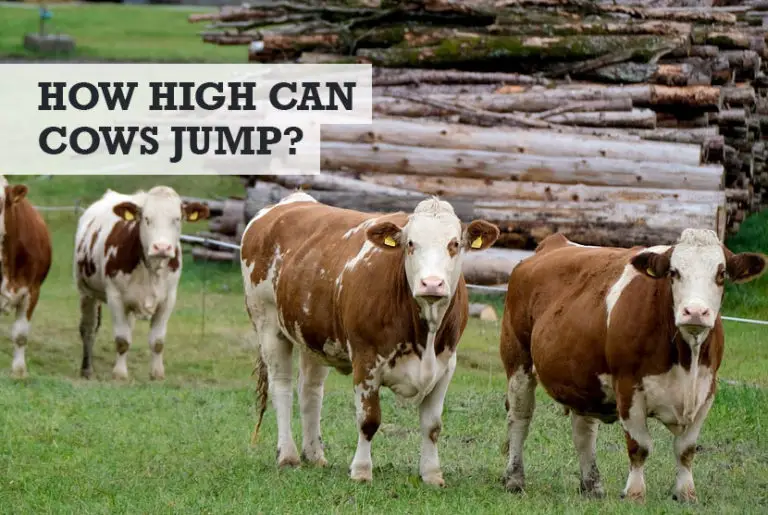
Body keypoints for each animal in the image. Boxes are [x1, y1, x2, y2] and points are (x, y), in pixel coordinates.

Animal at [74, 186, 209, 381]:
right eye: (147, 219)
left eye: (177, 218)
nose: (162, 247)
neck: (151, 270)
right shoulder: (115, 297)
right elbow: (122, 340)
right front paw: (120, 374)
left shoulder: (168, 299)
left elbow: (157, 341)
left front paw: (157, 373)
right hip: (86, 291)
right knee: (88, 328)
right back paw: (86, 369)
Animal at [241, 192, 499, 485]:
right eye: (410, 244)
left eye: (454, 243)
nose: (431, 284)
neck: (425, 335)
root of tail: (291, 200)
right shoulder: (366, 361)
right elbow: (369, 421)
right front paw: (362, 471)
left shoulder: (446, 365)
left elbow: (432, 426)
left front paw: (432, 474)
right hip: (268, 324)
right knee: (282, 388)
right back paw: (288, 456)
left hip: (313, 336)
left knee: (310, 390)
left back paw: (314, 455)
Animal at [499, 229, 766, 502]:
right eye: (674, 272)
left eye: (721, 274)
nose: (695, 311)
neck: (685, 361)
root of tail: (554, 242)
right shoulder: (628, 387)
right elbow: (640, 446)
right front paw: (635, 493)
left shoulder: (707, 390)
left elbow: (685, 449)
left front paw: (686, 493)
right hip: (517, 359)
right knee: (519, 417)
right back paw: (514, 479)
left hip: (583, 376)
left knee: (584, 431)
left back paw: (592, 485)